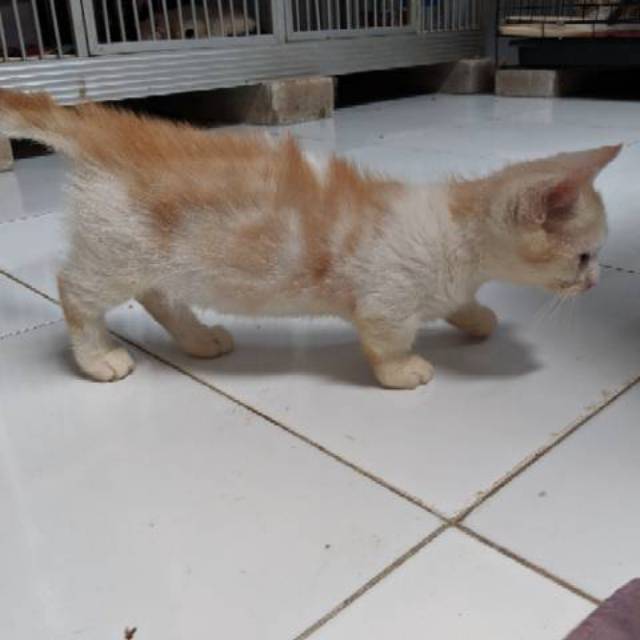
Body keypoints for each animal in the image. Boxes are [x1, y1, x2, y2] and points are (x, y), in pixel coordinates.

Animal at [0, 89, 621, 388]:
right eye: (584, 256)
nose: (595, 283)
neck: (455, 231)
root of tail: (109, 129)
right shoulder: (385, 301)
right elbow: (387, 340)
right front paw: (403, 372)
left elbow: (462, 306)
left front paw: (478, 318)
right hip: (117, 252)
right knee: (75, 289)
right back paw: (97, 357)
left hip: (162, 257)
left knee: (160, 294)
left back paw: (199, 338)